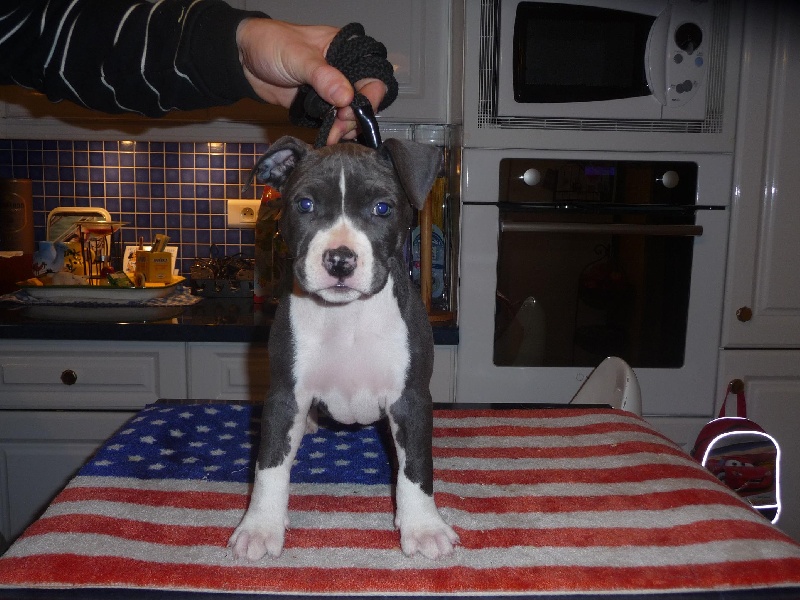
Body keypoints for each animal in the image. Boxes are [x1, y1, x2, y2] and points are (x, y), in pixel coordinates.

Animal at [228, 136, 459, 560]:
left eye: (382, 208)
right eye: (305, 205)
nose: (339, 260)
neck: (346, 314)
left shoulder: (410, 398)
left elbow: (417, 465)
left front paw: (423, 526)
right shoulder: (284, 395)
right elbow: (269, 464)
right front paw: (260, 526)